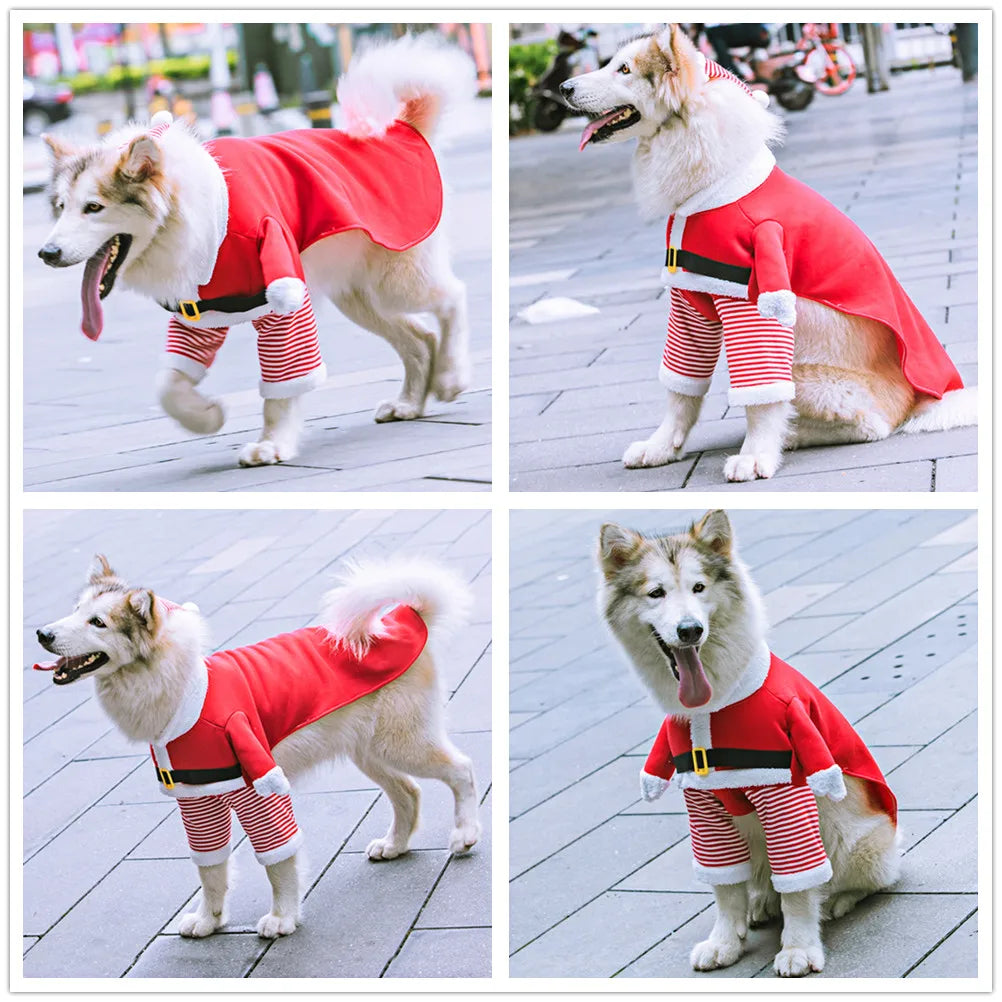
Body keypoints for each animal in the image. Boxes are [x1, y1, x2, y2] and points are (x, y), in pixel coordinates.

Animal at [35, 557, 480, 937]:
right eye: (75, 610)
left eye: (97, 622)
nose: (42, 634)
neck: (177, 686)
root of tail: (407, 618)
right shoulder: (198, 800)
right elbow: (210, 870)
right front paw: (209, 921)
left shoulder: (260, 787)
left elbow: (277, 862)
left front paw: (282, 917)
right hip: (370, 751)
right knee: (409, 792)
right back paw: (395, 846)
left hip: (404, 743)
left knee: (462, 769)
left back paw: (465, 834)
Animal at [37, 34, 474, 464]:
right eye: (60, 206)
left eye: (93, 208)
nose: (46, 254)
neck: (178, 214)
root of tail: (402, 129)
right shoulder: (200, 309)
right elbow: (169, 386)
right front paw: (206, 416)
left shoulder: (283, 298)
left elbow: (281, 387)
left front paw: (272, 443)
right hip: (358, 296)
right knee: (421, 339)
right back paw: (410, 403)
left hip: (397, 279)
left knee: (452, 297)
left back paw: (450, 376)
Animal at [561, 21, 973, 478]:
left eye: (624, 70)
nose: (563, 87)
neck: (709, 188)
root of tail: (924, 399)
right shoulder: (689, 300)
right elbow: (681, 391)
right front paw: (662, 447)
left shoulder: (754, 299)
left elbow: (761, 401)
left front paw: (756, 454)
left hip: (807, 370)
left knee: (869, 424)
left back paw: (792, 435)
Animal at [597, 509, 905, 969]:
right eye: (656, 593)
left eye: (699, 588)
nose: (690, 630)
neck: (715, 705)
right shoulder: (704, 805)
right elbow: (725, 889)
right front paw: (725, 940)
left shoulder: (786, 793)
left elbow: (799, 888)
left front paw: (798, 948)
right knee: (762, 881)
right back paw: (761, 904)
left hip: (852, 837)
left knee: (855, 878)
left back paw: (836, 900)